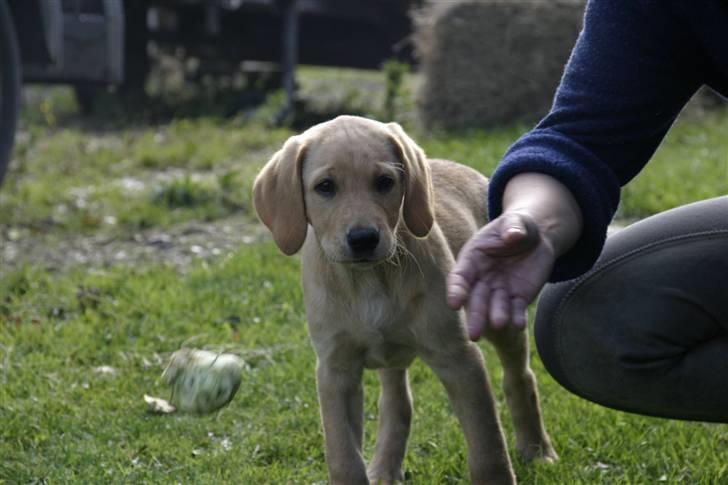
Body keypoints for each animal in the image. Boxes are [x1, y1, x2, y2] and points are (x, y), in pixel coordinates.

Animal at [253, 116, 556, 484]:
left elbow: (488, 446)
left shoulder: (458, 358)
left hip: (497, 318)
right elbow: (343, 456)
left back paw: (536, 450)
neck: (370, 280)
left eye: (385, 182)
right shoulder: (336, 370)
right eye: (325, 187)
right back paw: (385, 467)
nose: (363, 238)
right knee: (397, 402)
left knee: (519, 378)